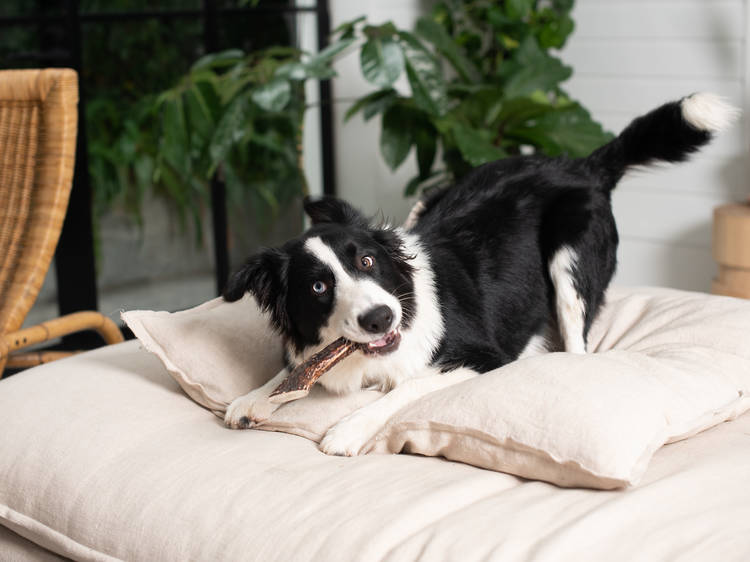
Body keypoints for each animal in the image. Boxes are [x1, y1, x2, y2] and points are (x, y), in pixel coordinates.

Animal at [223, 91, 740, 450]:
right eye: (318, 286)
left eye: (366, 261)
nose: (380, 319)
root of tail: (582, 164)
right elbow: (291, 371)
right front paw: (250, 398)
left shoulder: (481, 356)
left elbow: (402, 391)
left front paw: (347, 430)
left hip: (569, 260)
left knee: (578, 346)